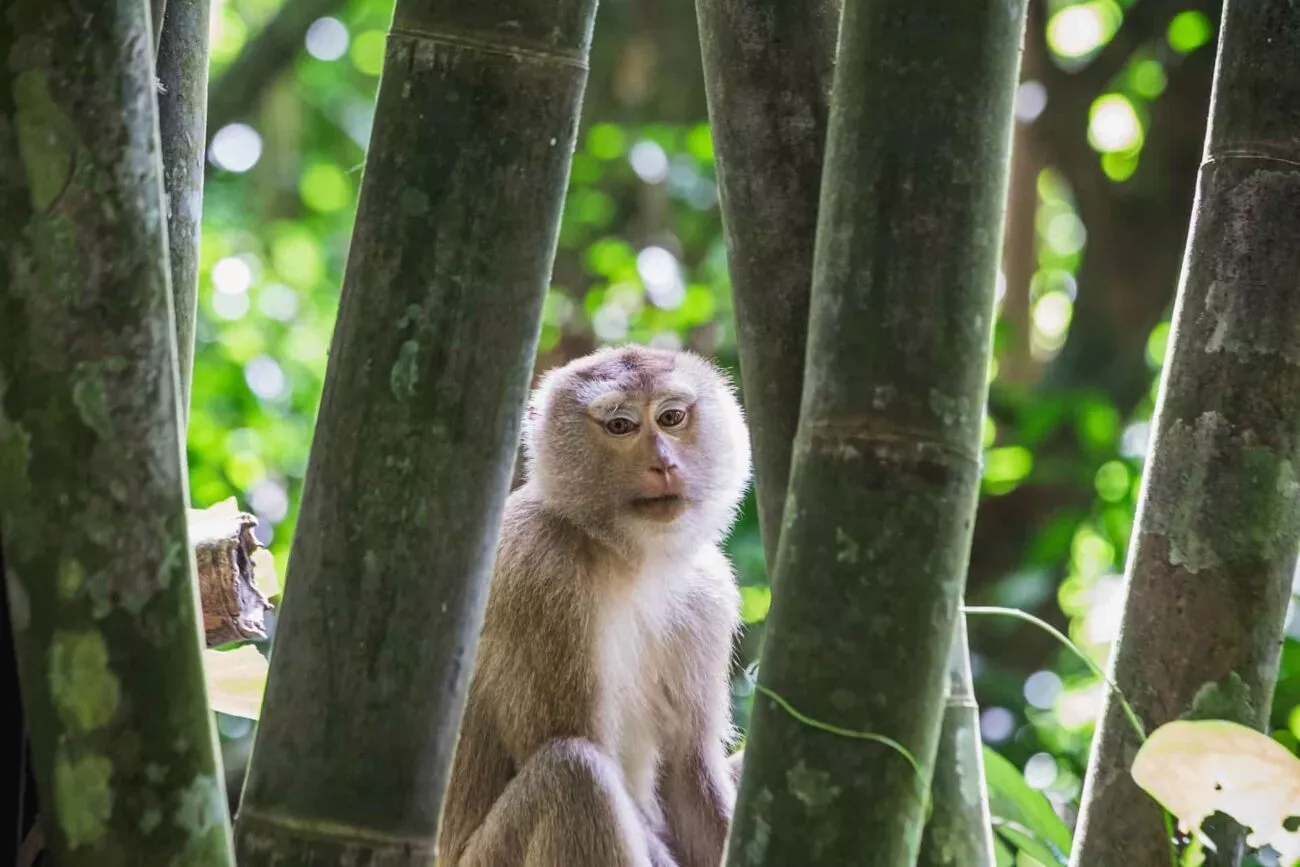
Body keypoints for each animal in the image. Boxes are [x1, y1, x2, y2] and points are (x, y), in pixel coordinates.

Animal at [438, 345, 753, 867]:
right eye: (621, 425)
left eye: (671, 418)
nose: (664, 463)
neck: (624, 557)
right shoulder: (542, 577)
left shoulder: (708, 594)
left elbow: (690, 774)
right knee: (574, 775)